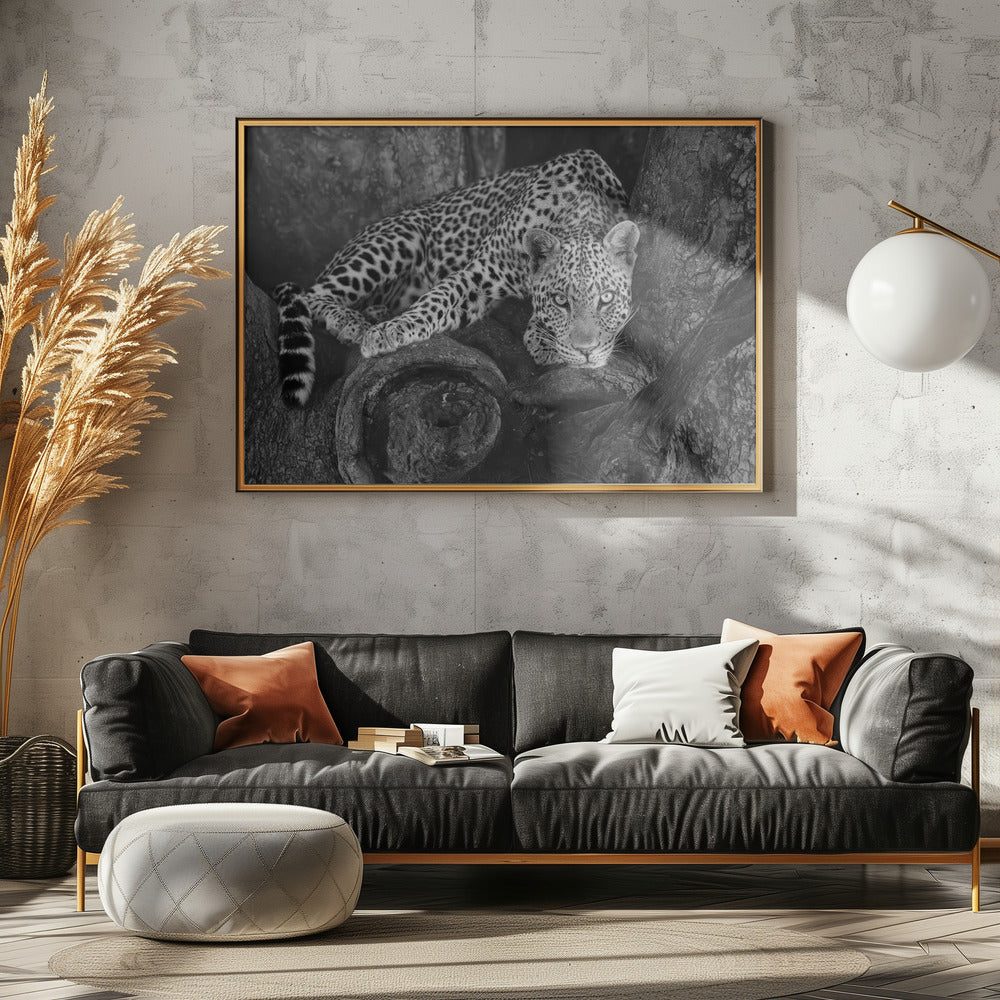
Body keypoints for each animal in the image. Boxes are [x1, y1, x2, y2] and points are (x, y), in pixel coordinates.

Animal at [273, 148, 640, 407]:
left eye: (607, 299)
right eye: (561, 301)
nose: (586, 352)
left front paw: (543, 337)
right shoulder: (479, 274)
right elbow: (435, 301)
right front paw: (388, 334)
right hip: (399, 237)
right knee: (311, 294)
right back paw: (353, 323)